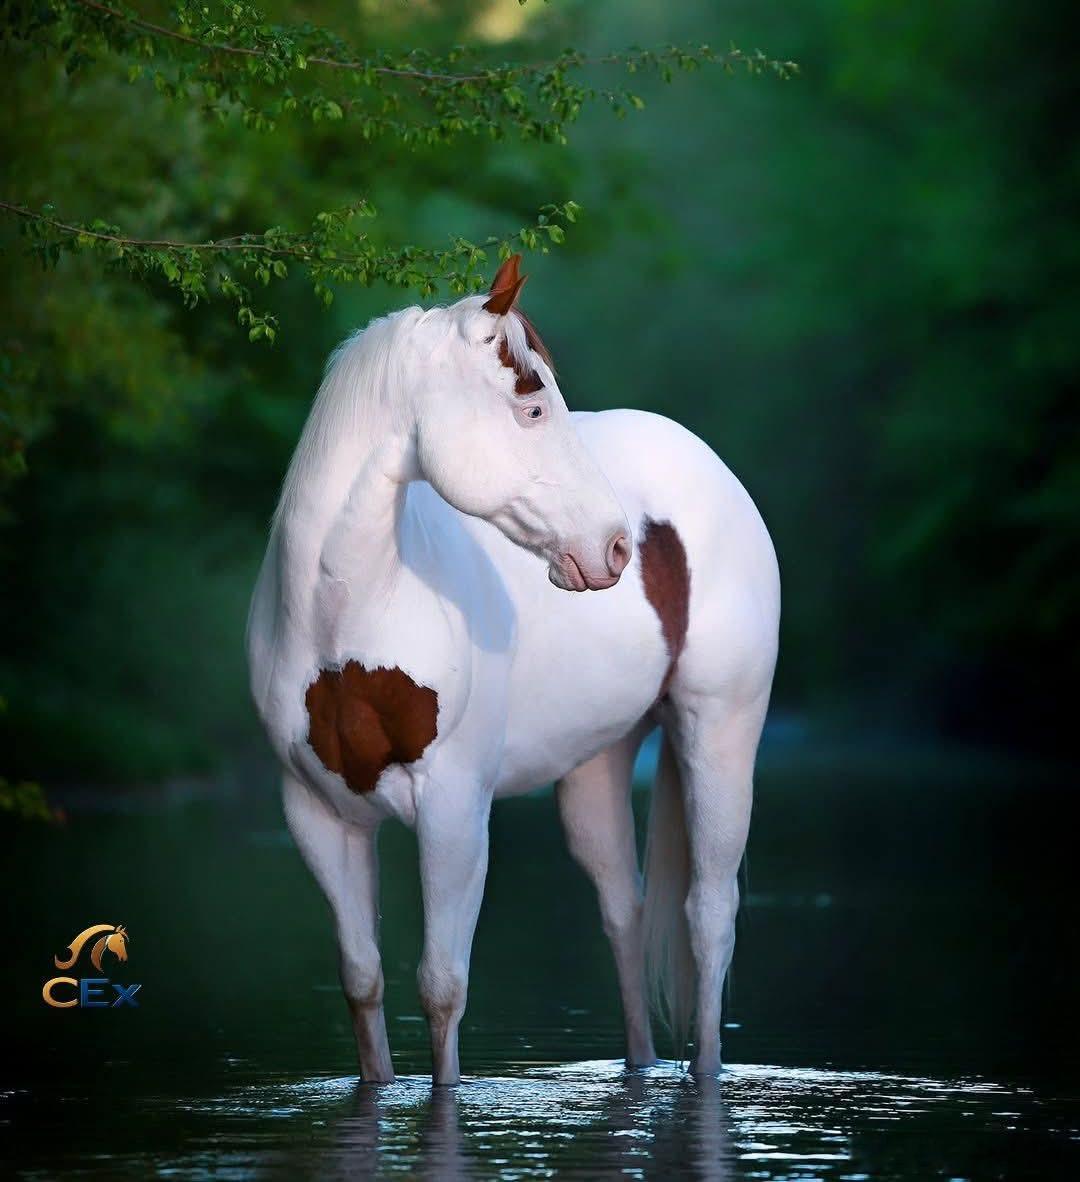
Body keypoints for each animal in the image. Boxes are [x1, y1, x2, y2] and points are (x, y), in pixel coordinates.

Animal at [247, 255, 780, 1085]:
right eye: (531, 407)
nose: (614, 547)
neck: (351, 625)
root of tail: (706, 462)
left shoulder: (454, 812)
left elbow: (442, 987)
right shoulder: (318, 815)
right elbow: (363, 983)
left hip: (721, 731)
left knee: (709, 915)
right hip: (598, 763)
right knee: (622, 913)